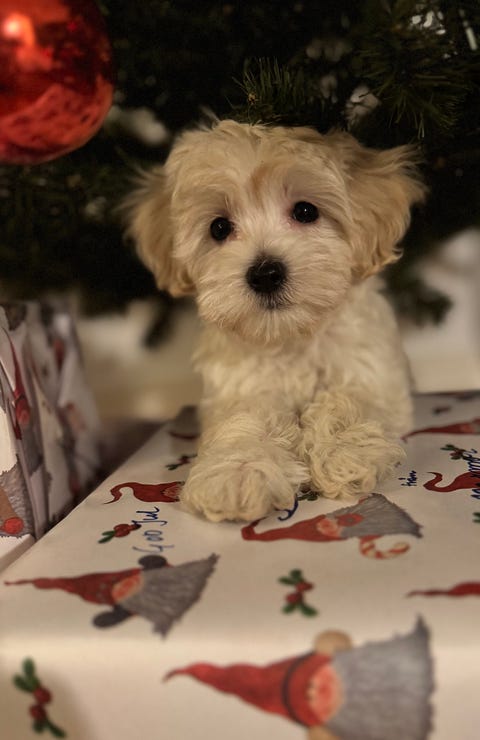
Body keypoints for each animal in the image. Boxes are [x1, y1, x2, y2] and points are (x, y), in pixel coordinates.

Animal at [125, 119, 425, 522]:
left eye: (305, 211)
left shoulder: (373, 372)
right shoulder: (240, 386)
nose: (265, 274)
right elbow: (249, 416)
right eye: (219, 228)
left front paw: (345, 449)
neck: (291, 335)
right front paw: (239, 470)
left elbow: (349, 399)